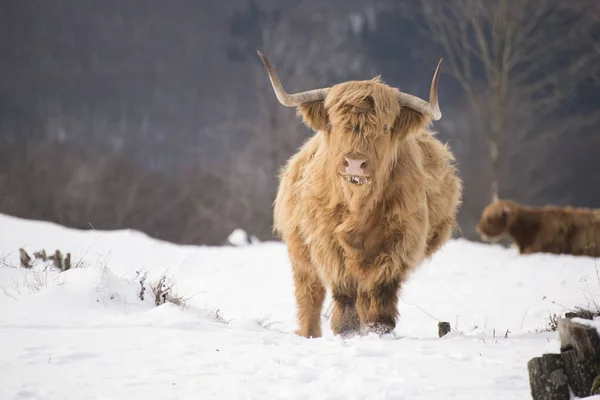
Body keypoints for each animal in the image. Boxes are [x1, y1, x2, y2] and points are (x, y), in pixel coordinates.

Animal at [258, 49, 464, 338]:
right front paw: (346, 329)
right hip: (301, 257)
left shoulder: (401, 239)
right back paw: (309, 333)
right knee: (309, 296)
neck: (358, 204)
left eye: (386, 128)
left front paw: (379, 327)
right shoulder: (325, 239)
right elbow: (343, 287)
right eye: (335, 124)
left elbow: (381, 286)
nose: (355, 163)